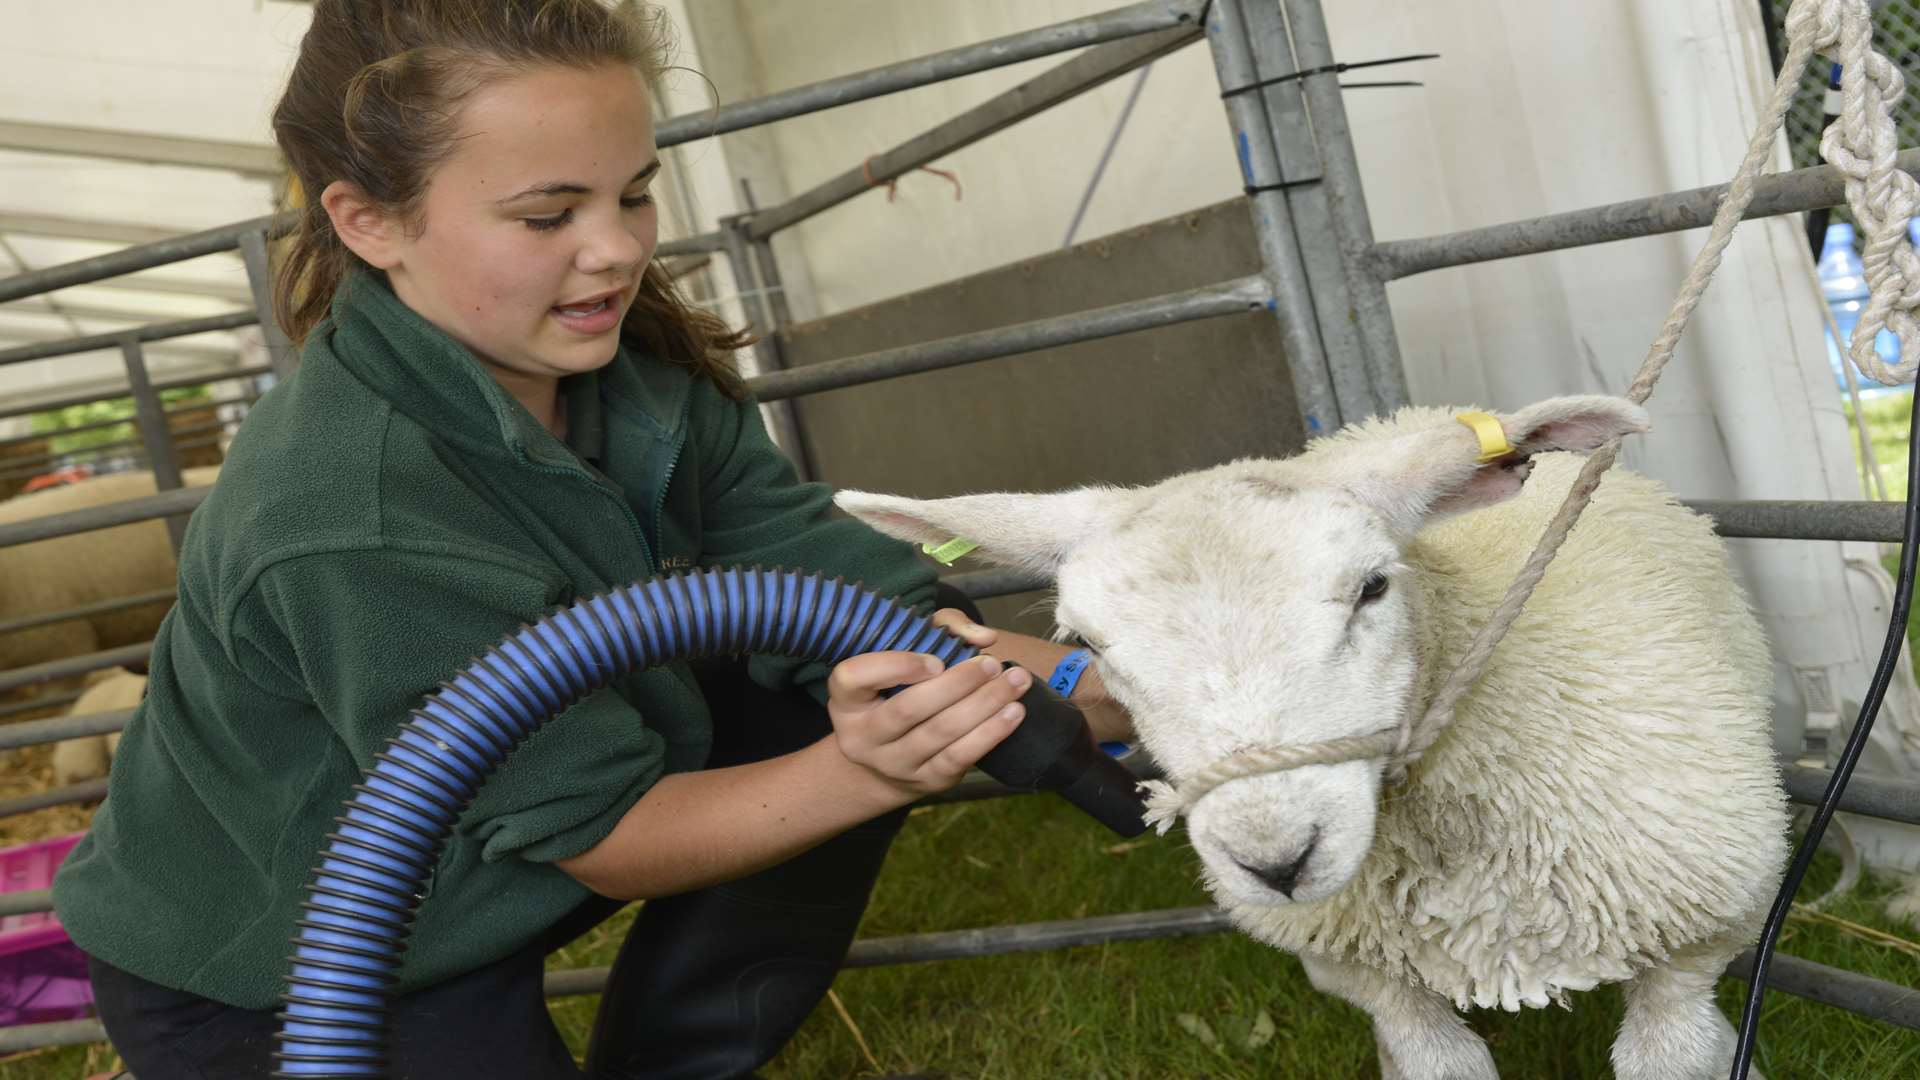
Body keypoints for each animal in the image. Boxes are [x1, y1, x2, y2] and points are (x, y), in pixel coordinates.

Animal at [840, 395, 1781, 1076]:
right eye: (1088, 644)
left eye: (1373, 586)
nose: (1275, 863)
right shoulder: (1367, 977)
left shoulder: (1700, 940)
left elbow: (1675, 1055)